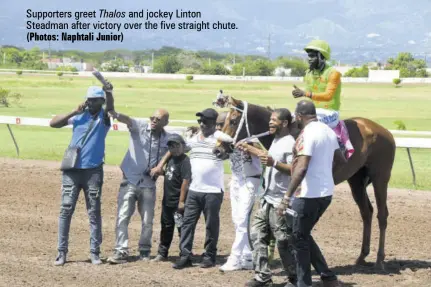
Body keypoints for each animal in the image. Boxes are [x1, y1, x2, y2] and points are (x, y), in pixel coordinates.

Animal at [214, 97, 396, 270]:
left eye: (233, 121)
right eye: (224, 121)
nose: (217, 150)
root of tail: (385, 131)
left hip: (381, 177)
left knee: (382, 215)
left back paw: (380, 260)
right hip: (356, 180)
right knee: (367, 212)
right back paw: (362, 257)